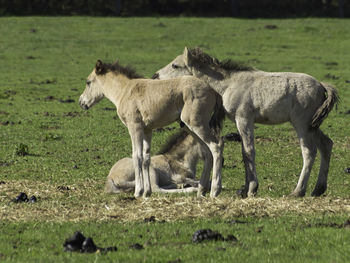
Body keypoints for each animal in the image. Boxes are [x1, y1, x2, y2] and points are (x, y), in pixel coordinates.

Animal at [79, 59, 224, 199]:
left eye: (88, 82)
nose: (81, 102)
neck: (125, 91)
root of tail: (213, 91)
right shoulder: (148, 130)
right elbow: (146, 158)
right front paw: (146, 192)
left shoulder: (135, 126)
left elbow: (137, 156)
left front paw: (138, 192)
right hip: (189, 128)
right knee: (207, 152)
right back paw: (201, 190)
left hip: (196, 124)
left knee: (216, 146)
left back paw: (214, 191)